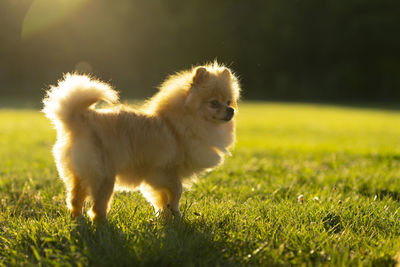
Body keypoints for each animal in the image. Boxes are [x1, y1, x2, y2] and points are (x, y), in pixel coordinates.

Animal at [42, 63, 239, 222]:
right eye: (214, 103)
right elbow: (177, 190)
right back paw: (102, 224)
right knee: (97, 207)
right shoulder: (162, 171)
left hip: (80, 174)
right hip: (104, 176)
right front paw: (175, 213)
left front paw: (166, 216)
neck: (179, 123)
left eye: (229, 101)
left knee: (75, 200)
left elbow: (163, 198)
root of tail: (79, 118)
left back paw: (78, 220)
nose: (231, 110)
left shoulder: (156, 178)